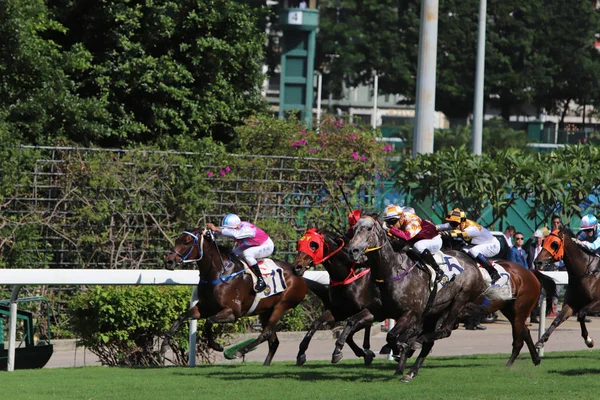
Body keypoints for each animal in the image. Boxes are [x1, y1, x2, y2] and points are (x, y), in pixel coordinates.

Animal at [162, 227, 308, 364]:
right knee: (273, 342)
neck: (219, 272)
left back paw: (239, 351)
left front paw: (216, 346)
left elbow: (209, 321)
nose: (169, 261)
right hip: (266, 311)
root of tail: (298, 274)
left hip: (281, 306)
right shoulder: (204, 308)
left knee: (266, 333)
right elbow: (181, 317)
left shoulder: (233, 312)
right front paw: (164, 344)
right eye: (177, 240)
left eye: (187, 242)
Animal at [290, 227, 384, 364]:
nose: (296, 267)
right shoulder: (340, 311)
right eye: (299, 244)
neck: (347, 277)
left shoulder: (371, 312)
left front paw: (337, 351)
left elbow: (351, 323)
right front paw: (301, 353)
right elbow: (317, 323)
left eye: (313, 245)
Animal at [346, 216, 556, 382]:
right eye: (354, 230)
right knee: (524, 333)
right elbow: (367, 326)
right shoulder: (387, 311)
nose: (353, 251)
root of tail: (530, 273)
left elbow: (396, 337)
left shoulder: (413, 313)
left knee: (514, 338)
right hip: (508, 310)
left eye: (368, 229)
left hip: (482, 305)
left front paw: (399, 349)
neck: (396, 270)